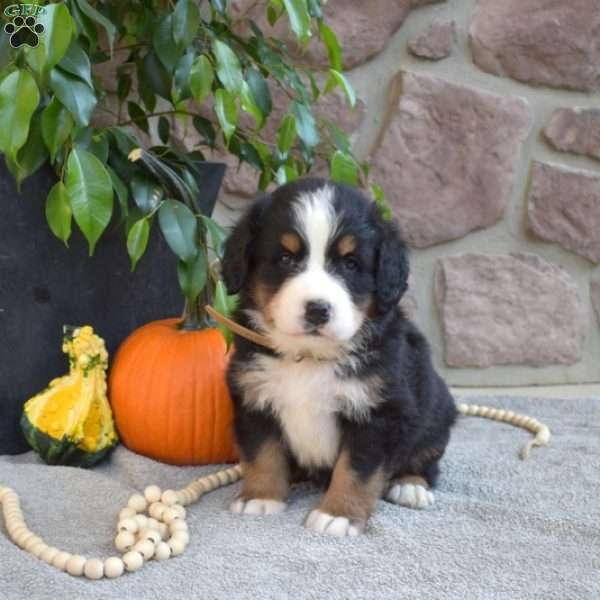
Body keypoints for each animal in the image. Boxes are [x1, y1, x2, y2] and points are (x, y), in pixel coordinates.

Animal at [221, 178, 454, 540]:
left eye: (351, 264)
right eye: (285, 258)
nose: (318, 309)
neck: (308, 356)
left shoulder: (377, 412)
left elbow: (356, 470)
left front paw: (338, 514)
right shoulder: (254, 396)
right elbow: (263, 453)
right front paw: (260, 497)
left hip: (436, 414)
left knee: (425, 459)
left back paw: (410, 486)